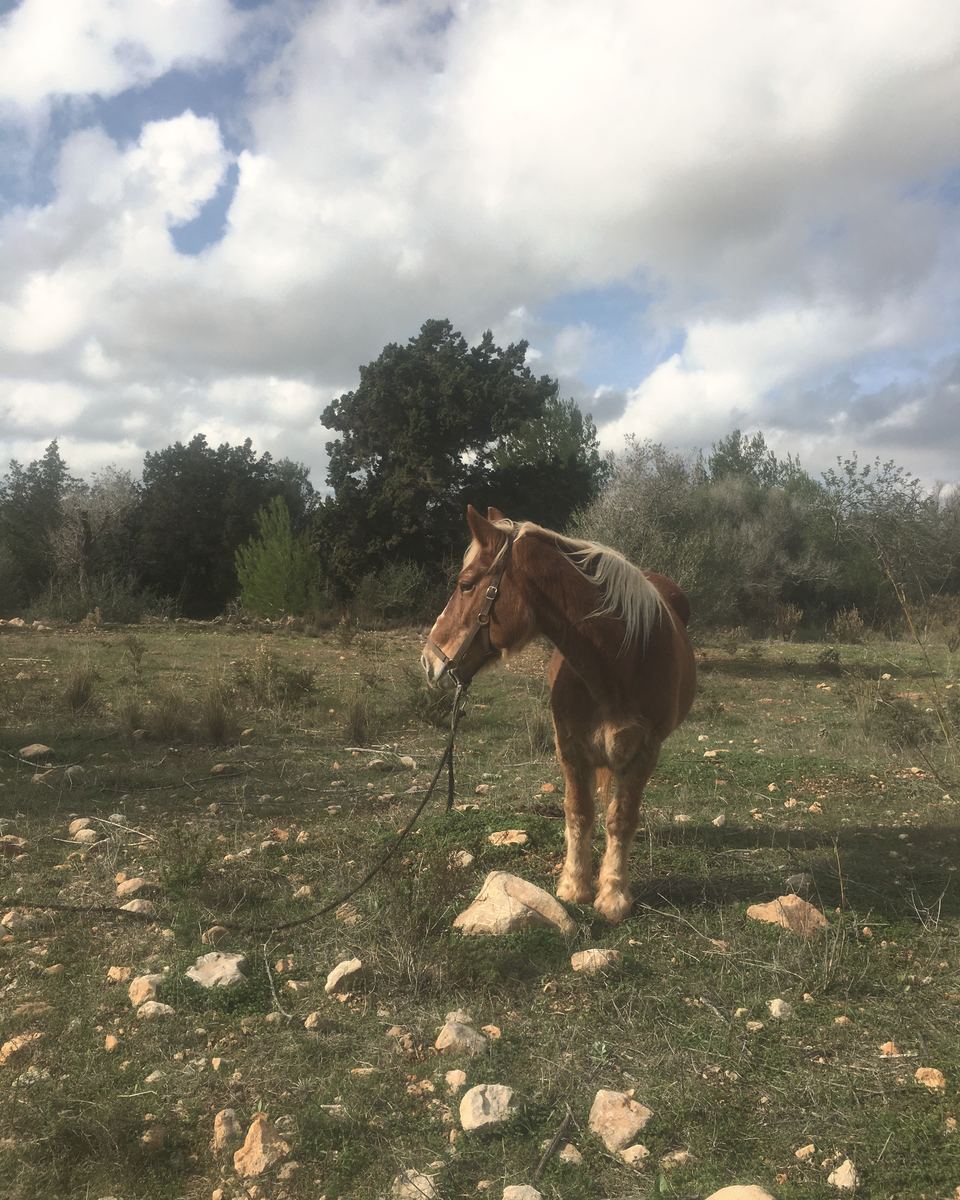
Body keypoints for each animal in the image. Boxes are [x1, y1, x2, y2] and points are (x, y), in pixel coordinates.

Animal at [422, 505, 696, 923]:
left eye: (465, 584)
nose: (429, 659)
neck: (620, 662)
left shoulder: (644, 753)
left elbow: (620, 818)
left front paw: (613, 896)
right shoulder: (570, 749)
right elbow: (578, 812)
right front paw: (574, 886)